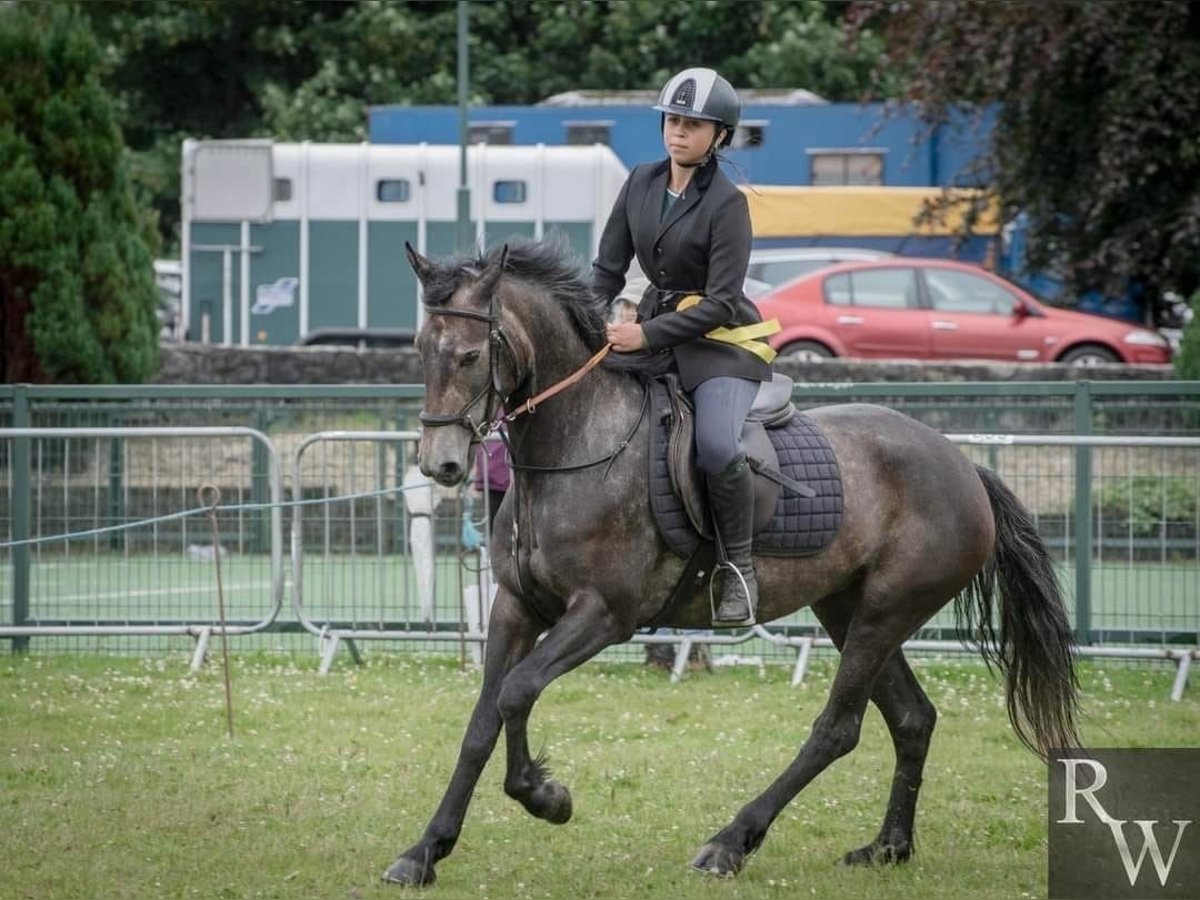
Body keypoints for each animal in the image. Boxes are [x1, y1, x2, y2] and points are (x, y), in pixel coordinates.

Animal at [384, 237, 1080, 888]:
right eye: (420, 350)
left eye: (470, 355)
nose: (441, 464)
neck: (576, 444)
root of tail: (962, 462)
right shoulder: (514, 608)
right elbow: (483, 720)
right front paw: (424, 851)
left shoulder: (604, 616)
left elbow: (518, 692)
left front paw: (546, 797)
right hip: (847, 608)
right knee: (911, 718)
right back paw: (887, 847)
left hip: (887, 610)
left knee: (839, 727)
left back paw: (731, 841)